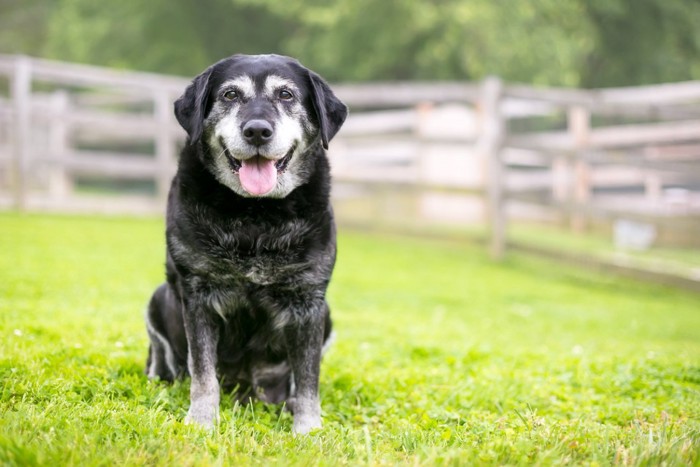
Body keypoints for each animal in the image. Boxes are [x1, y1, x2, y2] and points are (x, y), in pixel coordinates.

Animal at [144, 52, 348, 436]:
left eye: (285, 94)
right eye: (230, 95)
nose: (256, 130)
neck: (256, 214)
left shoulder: (309, 301)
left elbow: (308, 379)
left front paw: (308, 430)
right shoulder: (198, 295)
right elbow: (203, 373)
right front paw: (202, 421)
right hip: (158, 299)